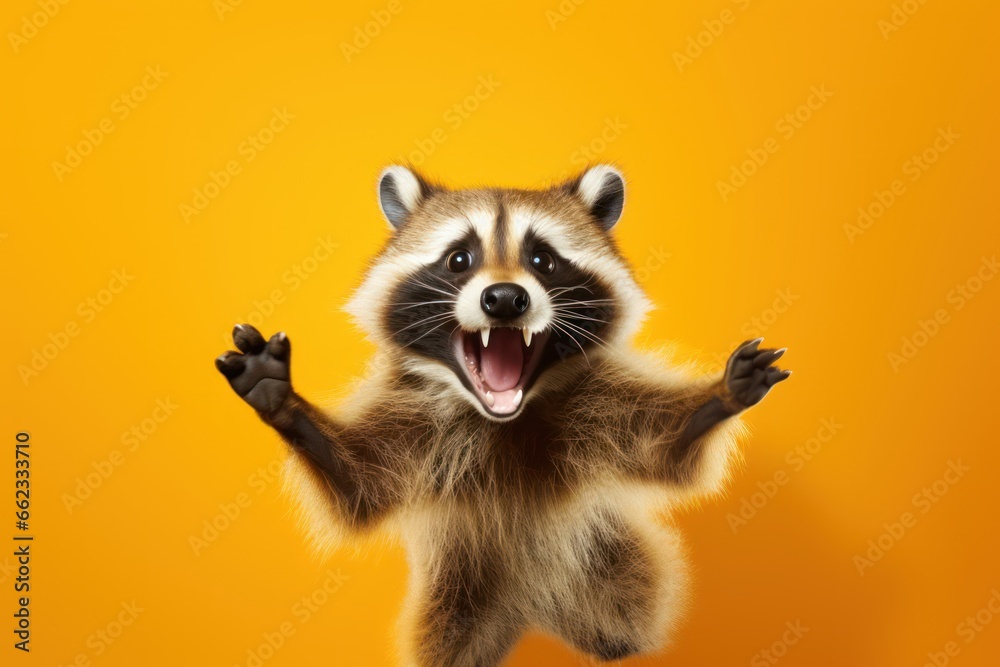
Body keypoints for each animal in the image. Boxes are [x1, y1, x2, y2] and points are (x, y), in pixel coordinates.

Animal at [215, 164, 789, 666]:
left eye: (543, 261)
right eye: (458, 259)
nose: (506, 299)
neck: (503, 420)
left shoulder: (599, 403)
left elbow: (659, 442)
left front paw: (715, 400)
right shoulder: (412, 418)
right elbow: (361, 480)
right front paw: (287, 407)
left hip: (610, 572)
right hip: (458, 595)